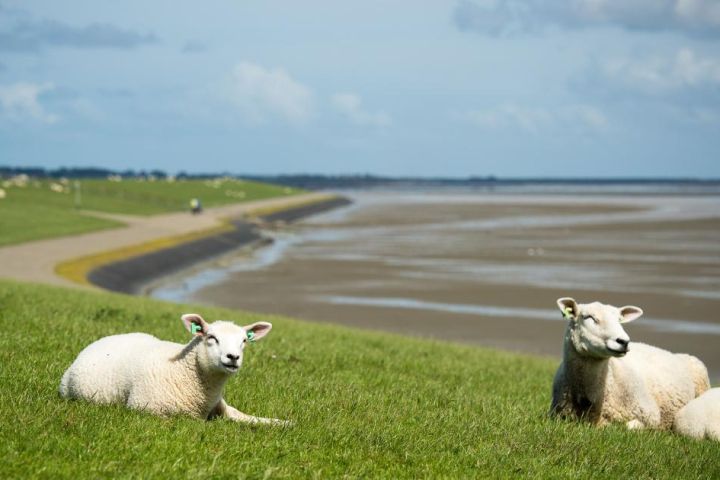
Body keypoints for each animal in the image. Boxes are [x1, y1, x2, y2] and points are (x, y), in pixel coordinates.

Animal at [59, 314, 288, 426]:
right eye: (211, 337)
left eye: (244, 341)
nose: (233, 357)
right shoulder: (146, 409)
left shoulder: (221, 406)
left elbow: (247, 417)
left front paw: (283, 423)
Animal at [552, 298, 708, 430]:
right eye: (589, 317)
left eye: (619, 320)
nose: (624, 341)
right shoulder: (558, 416)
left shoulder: (651, 416)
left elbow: (627, 427)